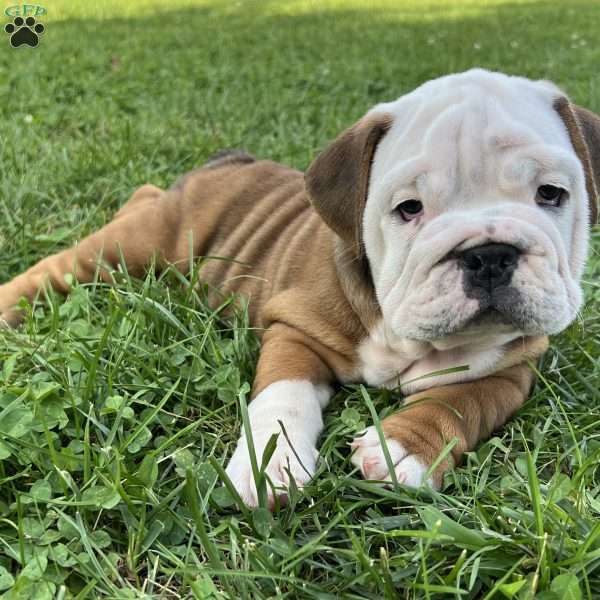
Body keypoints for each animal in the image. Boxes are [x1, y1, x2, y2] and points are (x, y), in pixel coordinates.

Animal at [1, 69, 600, 506]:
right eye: (409, 208)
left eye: (551, 194)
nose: (489, 254)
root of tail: (226, 161)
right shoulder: (295, 329)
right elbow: (281, 397)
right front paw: (272, 465)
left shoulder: (509, 371)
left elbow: (458, 404)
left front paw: (402, 450)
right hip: (139, 240)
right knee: (65, 263)